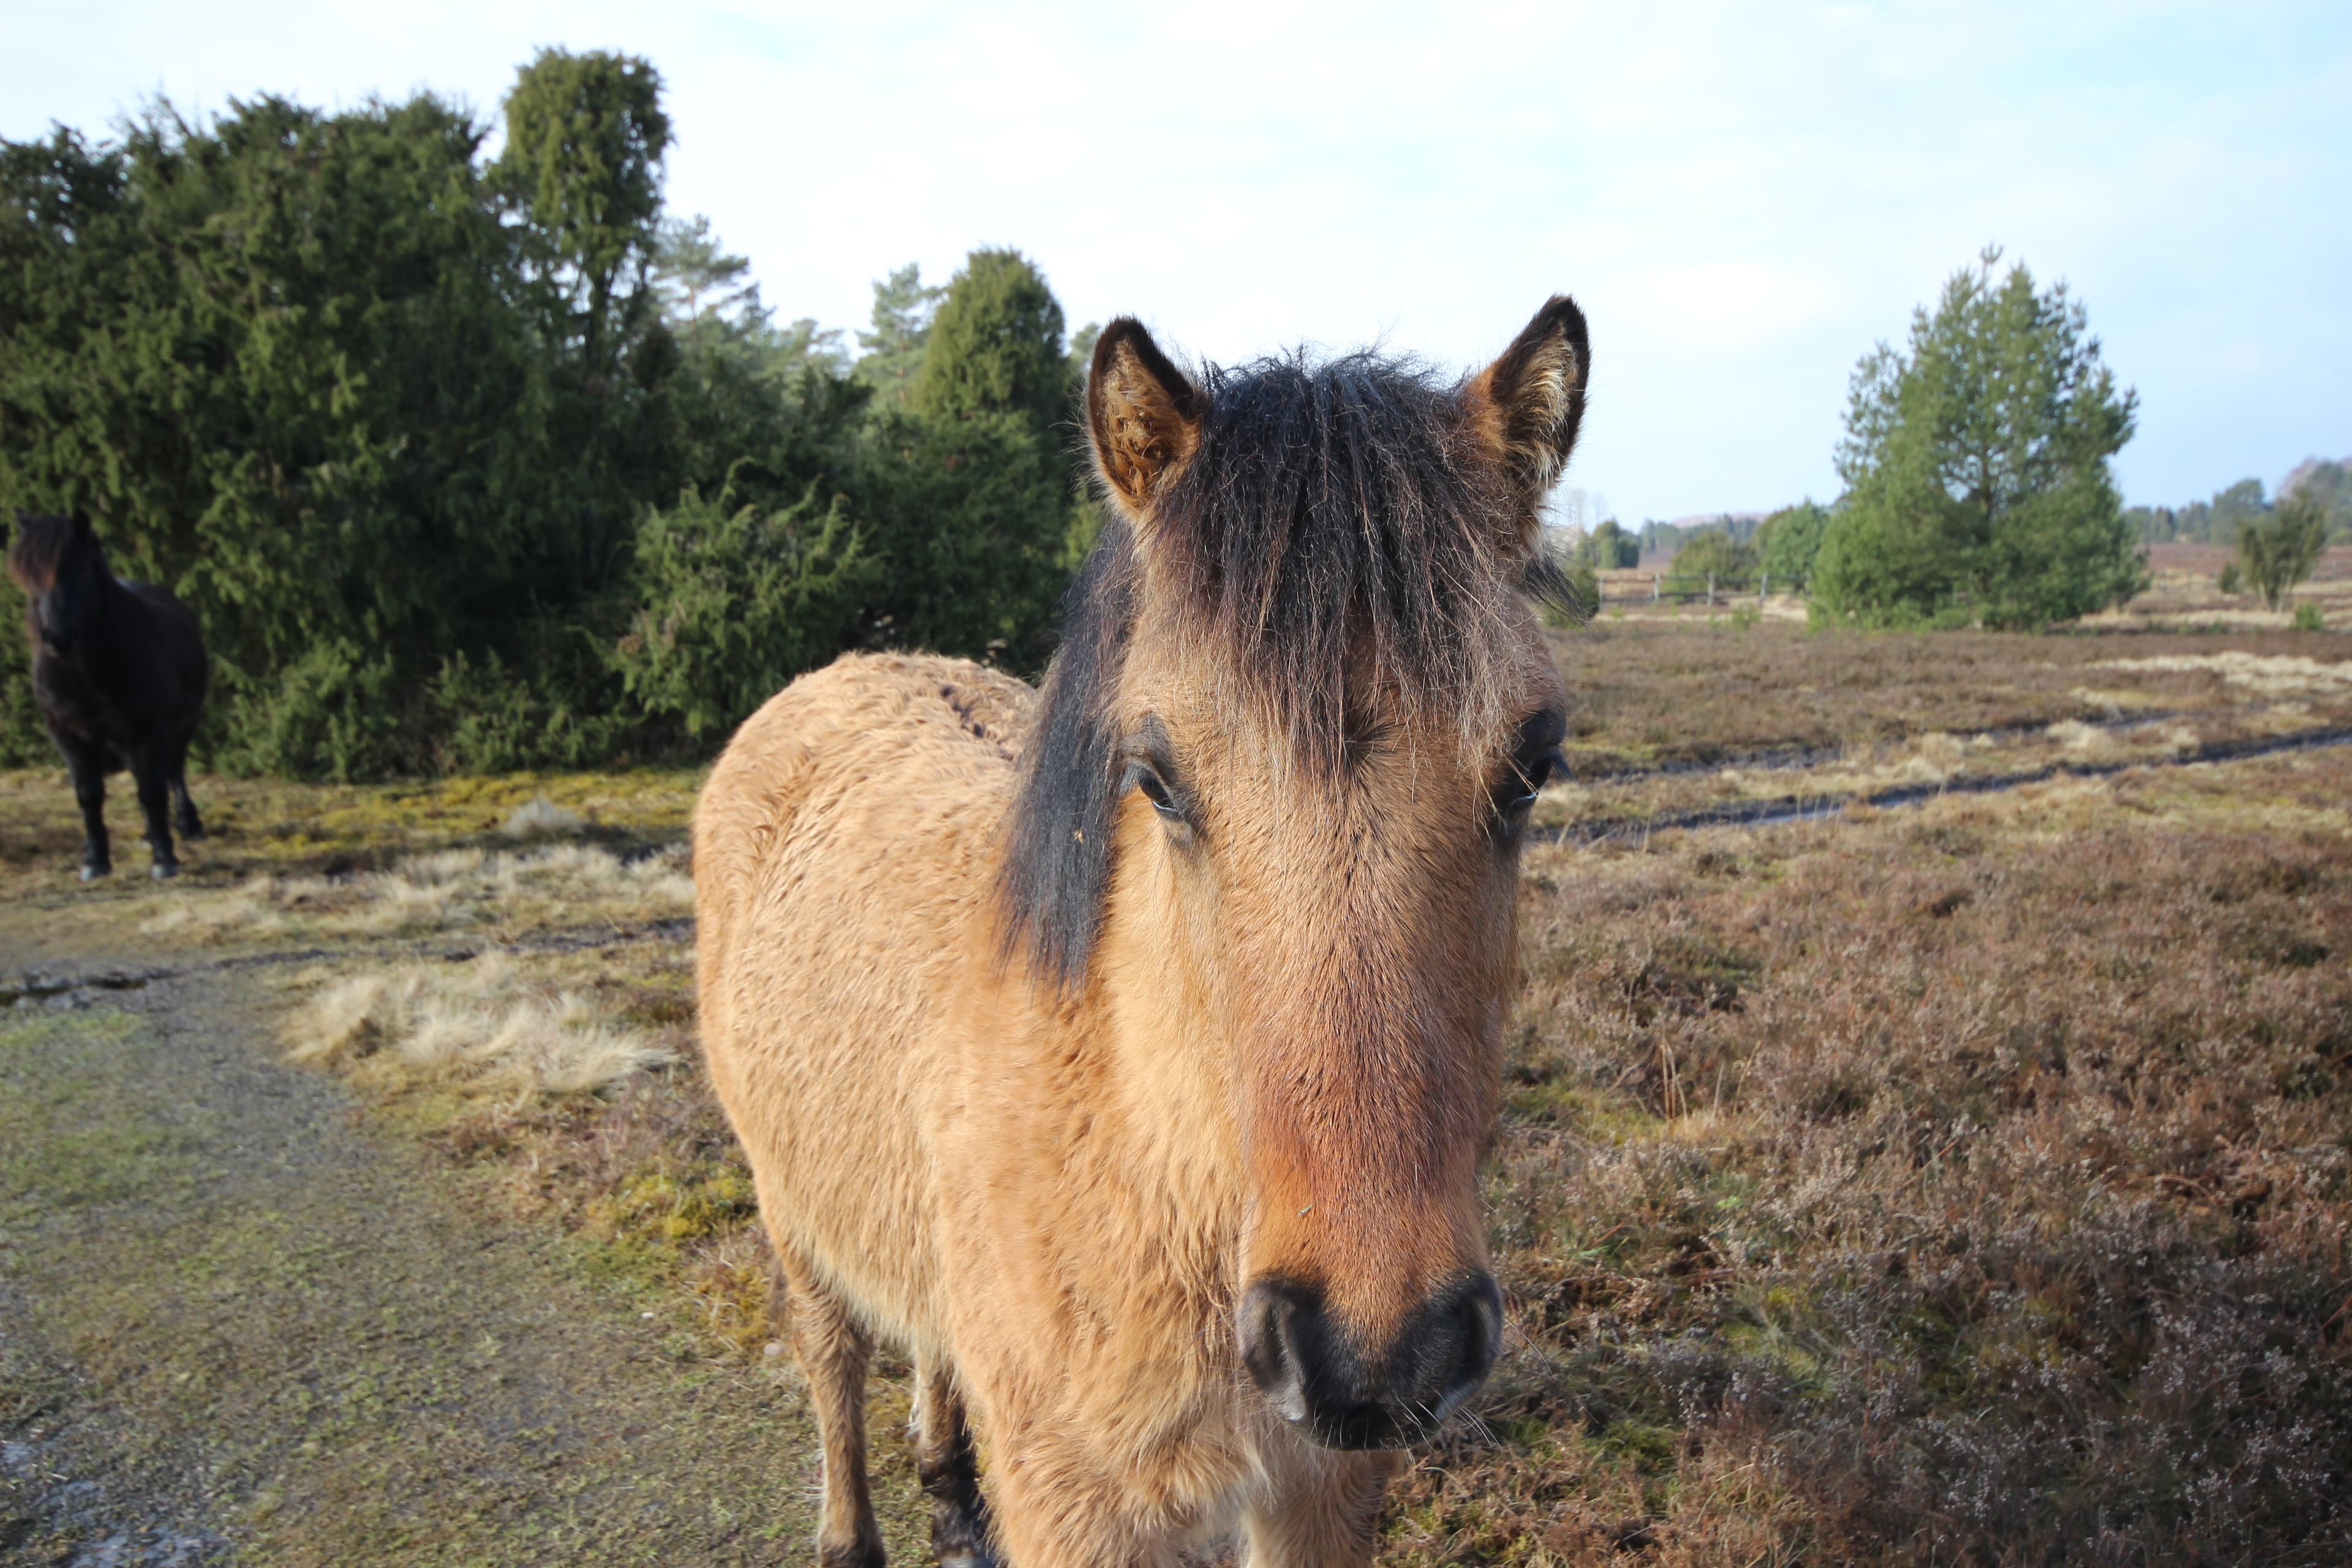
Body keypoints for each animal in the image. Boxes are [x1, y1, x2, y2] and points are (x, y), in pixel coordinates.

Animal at [7, 514, 210, 884]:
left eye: (80, 568)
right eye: (28, 575)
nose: (58, 638)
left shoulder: (150, 732)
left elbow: (152, 790)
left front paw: (164, 858)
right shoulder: (67, 735)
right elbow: (90, 794)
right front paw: (95, 859)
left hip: (182, 725)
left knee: (173, 770)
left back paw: (188, 825)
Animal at [687, 297, 1589, 1568]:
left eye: (1532, 765)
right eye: (1156, 779)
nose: (1374, 1352)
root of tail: (846, 670)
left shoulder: (1318, 1494)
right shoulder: (1082, 1514)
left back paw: (950, 1489)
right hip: (789, 1205)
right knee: (832, 1357)